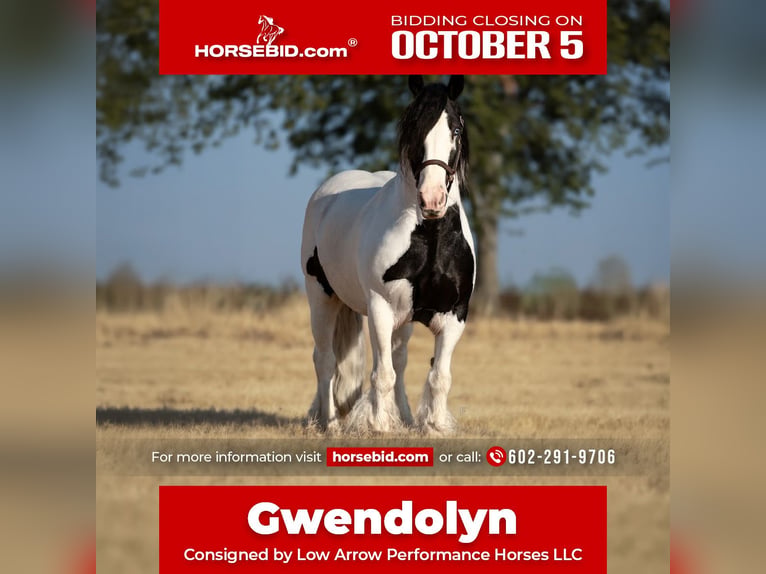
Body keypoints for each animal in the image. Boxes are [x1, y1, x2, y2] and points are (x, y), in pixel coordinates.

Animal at [300, 75, 475, 435]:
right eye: (414, 127)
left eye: (455, 129)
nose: (432, 199)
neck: (430, 238)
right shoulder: (380, 309)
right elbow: (381, 375)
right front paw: (379, 427)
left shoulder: (455, 314)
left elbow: (439, 376)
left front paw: (433, 426)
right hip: (321, 298)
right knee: (325, 360)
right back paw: (330, 423)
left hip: (402, 321)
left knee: (400, 361)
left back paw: (405, 418)